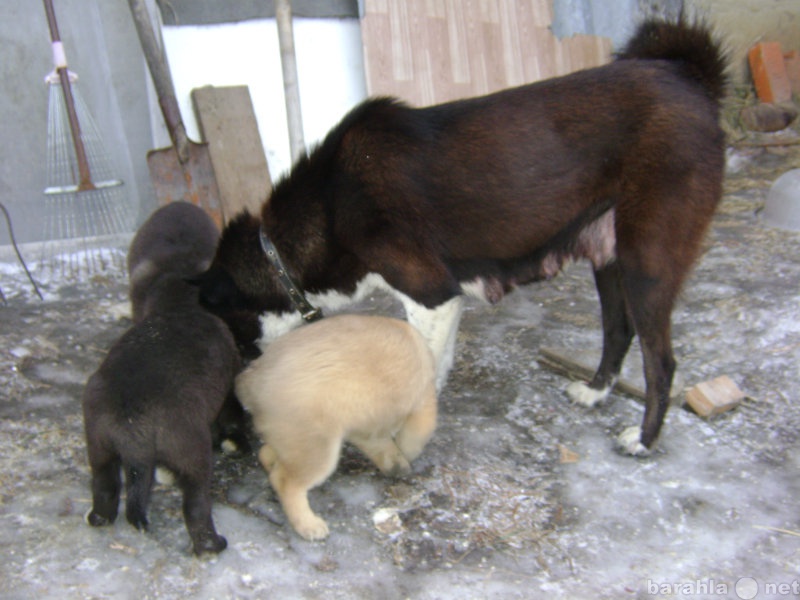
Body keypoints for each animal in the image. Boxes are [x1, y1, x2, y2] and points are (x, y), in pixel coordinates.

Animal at [195, 21, 732, 458]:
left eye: (229, 333)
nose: (233, 410)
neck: (331, 200)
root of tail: (688, 77)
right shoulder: (440, 303)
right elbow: (435, 365)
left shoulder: (430, 293)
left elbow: (421, 366)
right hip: (609, 257)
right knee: (618, 331)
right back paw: (595, 393)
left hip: (648, 262)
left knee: (661, 362)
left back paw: (643, 439)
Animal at [238, 314, 438, 540]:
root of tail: (251, 380)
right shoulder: (422, 402)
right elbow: (414, 437)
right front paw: (404, 458)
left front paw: (396, 463)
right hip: (316, 444)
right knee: (285, 480)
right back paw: (309, 524)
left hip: (291, 433)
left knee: (269, 453)